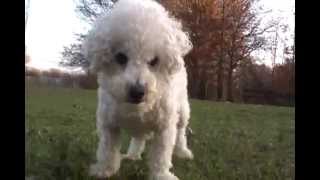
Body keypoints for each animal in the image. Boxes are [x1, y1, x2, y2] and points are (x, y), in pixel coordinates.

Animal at [82, 0, 192, 179]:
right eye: (120, 57)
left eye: (154, 61)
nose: (137, 92)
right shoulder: (108, 122)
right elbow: (107, 150)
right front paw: (104, 170)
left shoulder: (165, 126)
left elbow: (161, 155)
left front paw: (161, 175)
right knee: (139, 138)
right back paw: (133, 155)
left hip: (182, 110)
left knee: (181, 131)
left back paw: (183, 151)